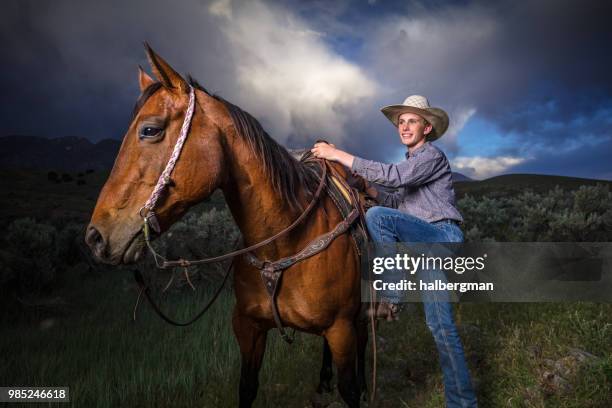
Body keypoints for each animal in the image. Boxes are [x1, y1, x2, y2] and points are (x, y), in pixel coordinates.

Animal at [86, 46, 368, 406]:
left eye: (149, 130)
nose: (95, 236)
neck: (283, 243)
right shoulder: (247, 329)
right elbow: (246, 387)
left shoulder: (341, 328)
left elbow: (350, 389)